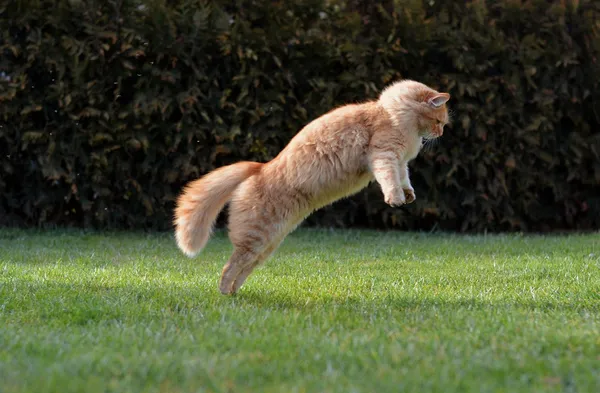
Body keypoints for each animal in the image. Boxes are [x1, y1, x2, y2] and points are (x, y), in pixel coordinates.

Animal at [173, 79, 450, 294]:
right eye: (439, 120)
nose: (441, 134)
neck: (392, 114)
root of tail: (260, 167)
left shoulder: (401, 161)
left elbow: (404, 178)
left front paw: (409, 195)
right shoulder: (385, 153)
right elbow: (390, 179)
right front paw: (395, 199)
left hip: (267, 243)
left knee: (242, 268)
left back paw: (234, 294)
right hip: (256, 238)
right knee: (228, 267)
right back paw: (224, 294)